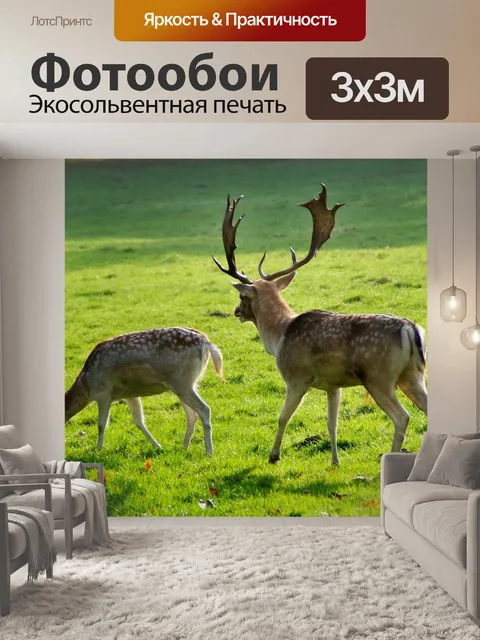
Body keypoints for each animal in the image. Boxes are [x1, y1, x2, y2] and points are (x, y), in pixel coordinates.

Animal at [65, 327, 223, 454]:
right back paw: (185, 446)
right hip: (187, 384)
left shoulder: (103, 393)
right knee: (192, 414)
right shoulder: (130, 394)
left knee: (204, 409)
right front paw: (158, 446)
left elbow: (101, 424)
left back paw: (209, 451)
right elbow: (139, 421)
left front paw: (98, 451)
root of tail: (205, 342)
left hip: (182, 382)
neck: (86, 385)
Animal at [212, 185, 427, 466]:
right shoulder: (333, 385)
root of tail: (410, 329)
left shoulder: (296, 377)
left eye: (242, 297)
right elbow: (332, 423)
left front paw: (273, 456)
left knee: (402, 417)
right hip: (413, 375)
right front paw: (335, 461)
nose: (236, 311)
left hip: (378, 376)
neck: (279, 336)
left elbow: (283, 417)